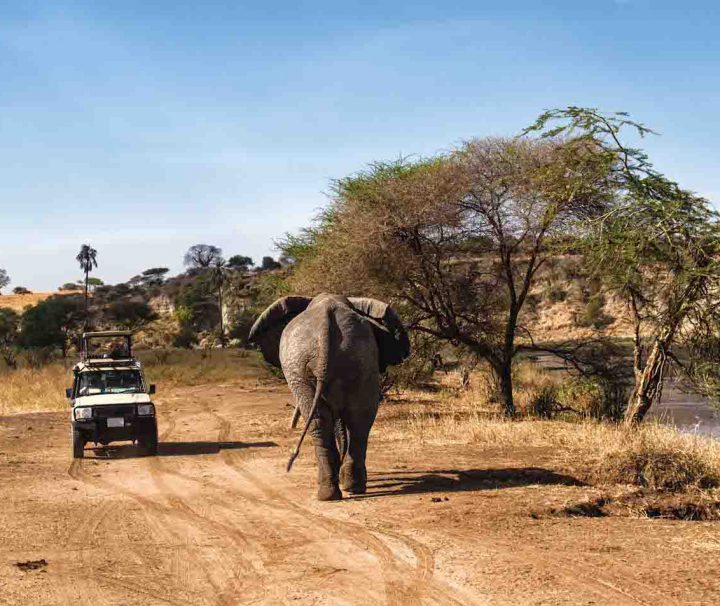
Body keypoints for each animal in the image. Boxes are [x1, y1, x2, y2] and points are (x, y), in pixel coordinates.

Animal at [250, 296, 410, 504]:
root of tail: (326, 329)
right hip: (350, 362)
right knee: (353, 420)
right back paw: (344, 490)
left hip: (308, 367)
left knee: (333, 420)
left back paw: (336, 491)